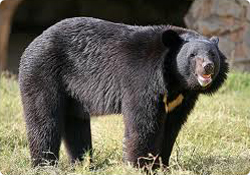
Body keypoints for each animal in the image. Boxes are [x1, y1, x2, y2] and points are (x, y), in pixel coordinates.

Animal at [19, 17, 229, 167]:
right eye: (192, 55)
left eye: (212, 54)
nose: (208, 67)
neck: (176, 81)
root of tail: (31, 44)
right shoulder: (143, 79)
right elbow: (143, 123)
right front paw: (141, 165)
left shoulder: (182, 99)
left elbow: (172, 127)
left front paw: (162, 165)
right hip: (44, 74)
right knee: (44, 119)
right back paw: (44, 164)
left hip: (72, 94)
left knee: (76, 125)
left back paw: (82, 164)